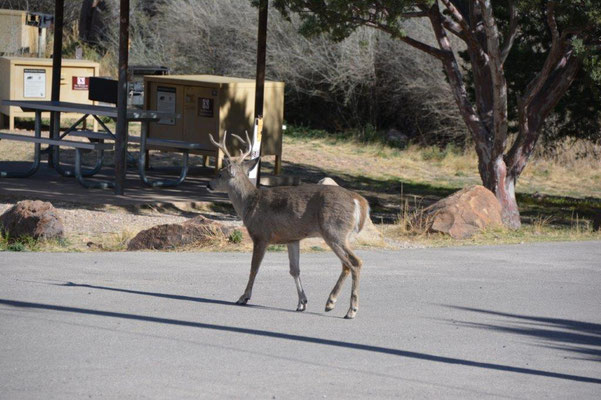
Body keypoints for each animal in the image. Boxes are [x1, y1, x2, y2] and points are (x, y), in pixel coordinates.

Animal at [210, 131, 370, 318]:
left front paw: (243, 297)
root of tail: (359, 201)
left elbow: (254, 268)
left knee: (355, 262)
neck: (250, 203)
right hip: (339, 234)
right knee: (346, 264)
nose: (208, 183)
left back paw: (350, 310)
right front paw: (302, 303)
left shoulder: (261, 235)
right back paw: (330, 303)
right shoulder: (292, 239)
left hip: (334, 231)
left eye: (220, 174)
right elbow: (294, 269)